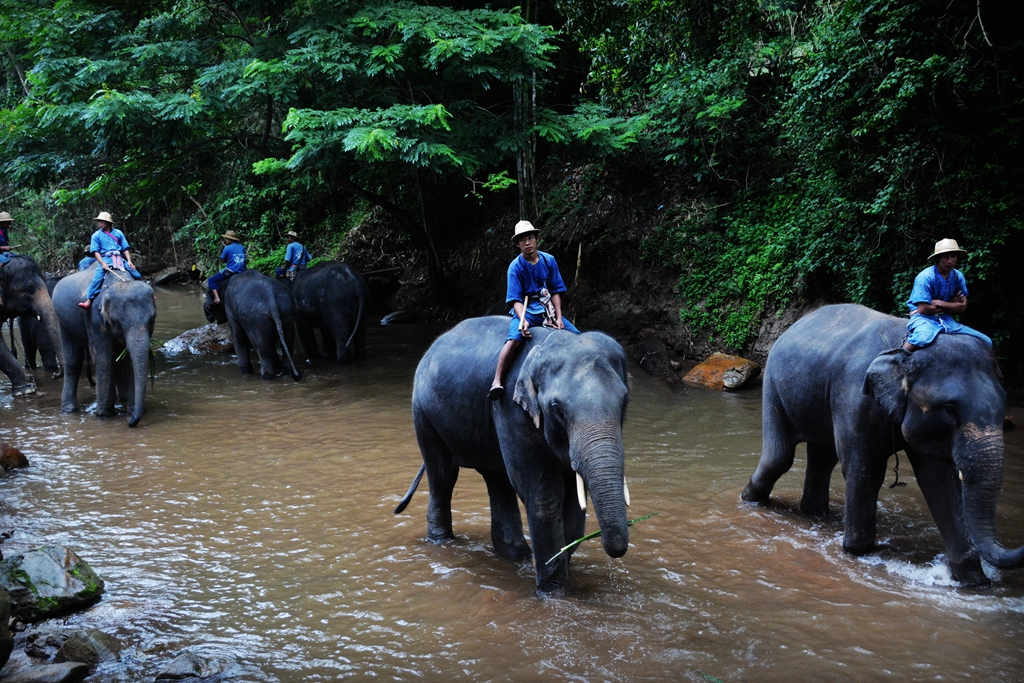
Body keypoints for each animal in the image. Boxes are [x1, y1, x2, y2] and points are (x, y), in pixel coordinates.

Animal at [52, 266, 157, 428]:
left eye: (152, 320)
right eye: (117, 324)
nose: (129, 423)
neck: (121, 280)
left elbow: (128, 360)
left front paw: (130, 411)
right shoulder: (95, 320)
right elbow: (102, 359)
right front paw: (103, 415)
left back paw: (123, 398)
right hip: (63, 322)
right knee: (73, 362)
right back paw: (68, 410)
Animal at [393, 317, 626, 593]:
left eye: (624, 403)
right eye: (557, 410)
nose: (616, 551)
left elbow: (572, 498)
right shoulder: (510, 406)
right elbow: (543, 494)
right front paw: (554, 593)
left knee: (497, 479)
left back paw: (516, 556)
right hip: (423, 412)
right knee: (442, 476)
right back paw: (442, 542)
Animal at [741, 305, 1019, 589]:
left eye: (1003, 404)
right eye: (950, 409)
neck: (905, 350)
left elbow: (938, 479)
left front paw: (973, 580)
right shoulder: (855, 396)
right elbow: (865, 470)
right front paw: (858, 551)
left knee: (823, 457)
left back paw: (814, 514)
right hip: (774, 384)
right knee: (779, 457)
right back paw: (750, 500)